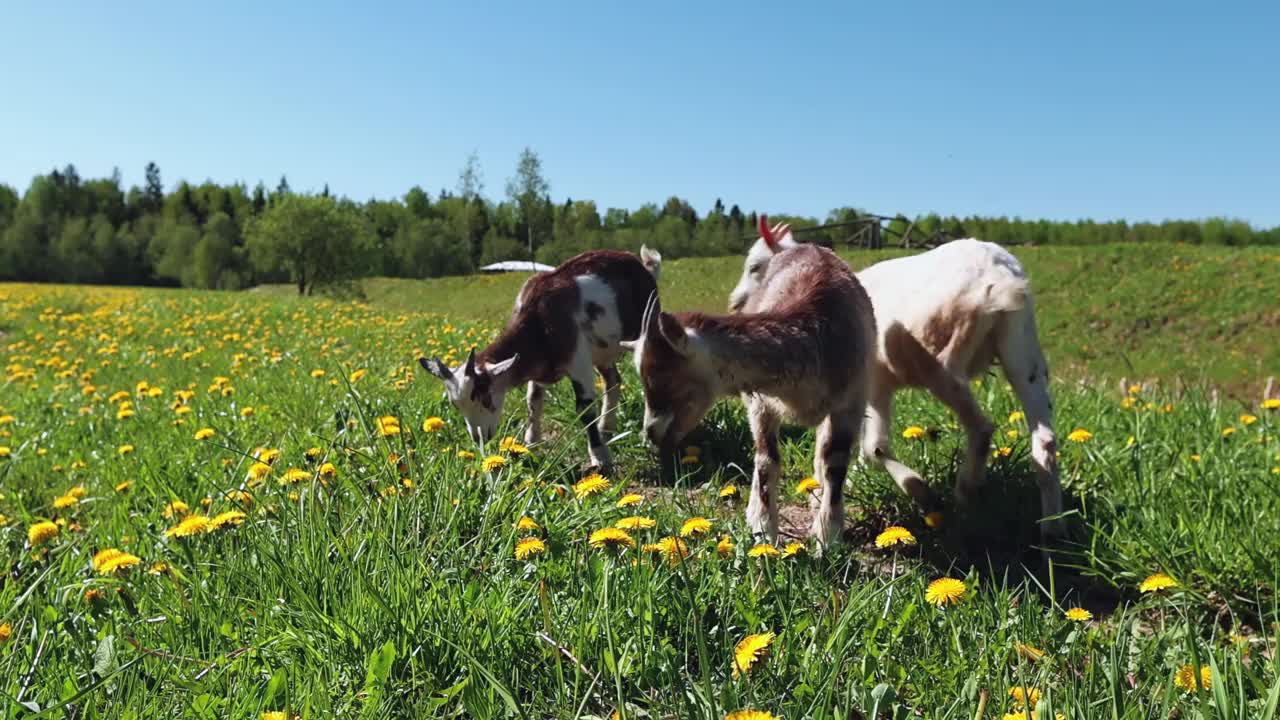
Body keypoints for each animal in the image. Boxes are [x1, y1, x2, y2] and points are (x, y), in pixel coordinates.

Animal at [422, 245, 660, 471]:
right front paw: (530, 445)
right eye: (455, 405)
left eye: (485, 397)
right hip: (603, 354)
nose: (480, 438)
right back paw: (607, 429)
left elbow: (584, 409)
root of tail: (644, 266)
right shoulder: (538, 370)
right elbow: (533, 402)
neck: (540, 321)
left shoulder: (578, 361)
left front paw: (600, 458)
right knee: (613, 381)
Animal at [624, 226, 875, 545]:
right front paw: (764, 530)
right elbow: (767, 459)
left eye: (660, 375)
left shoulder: (851, 401)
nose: (650, 432)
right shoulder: (761, 402)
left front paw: (827, 535)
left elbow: (835, 462)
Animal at [727, 219, 1064, 538]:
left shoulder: (867, 385)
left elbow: (861, 447)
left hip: (939, 359)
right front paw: (829, 491)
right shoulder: (869, 388)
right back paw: (1051, 527)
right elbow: (845, 447)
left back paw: (962, 492)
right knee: (1044, 440)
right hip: (1022, 350)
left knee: (980, 428)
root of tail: (1000, 278)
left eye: (754, 266)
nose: (734, 303)